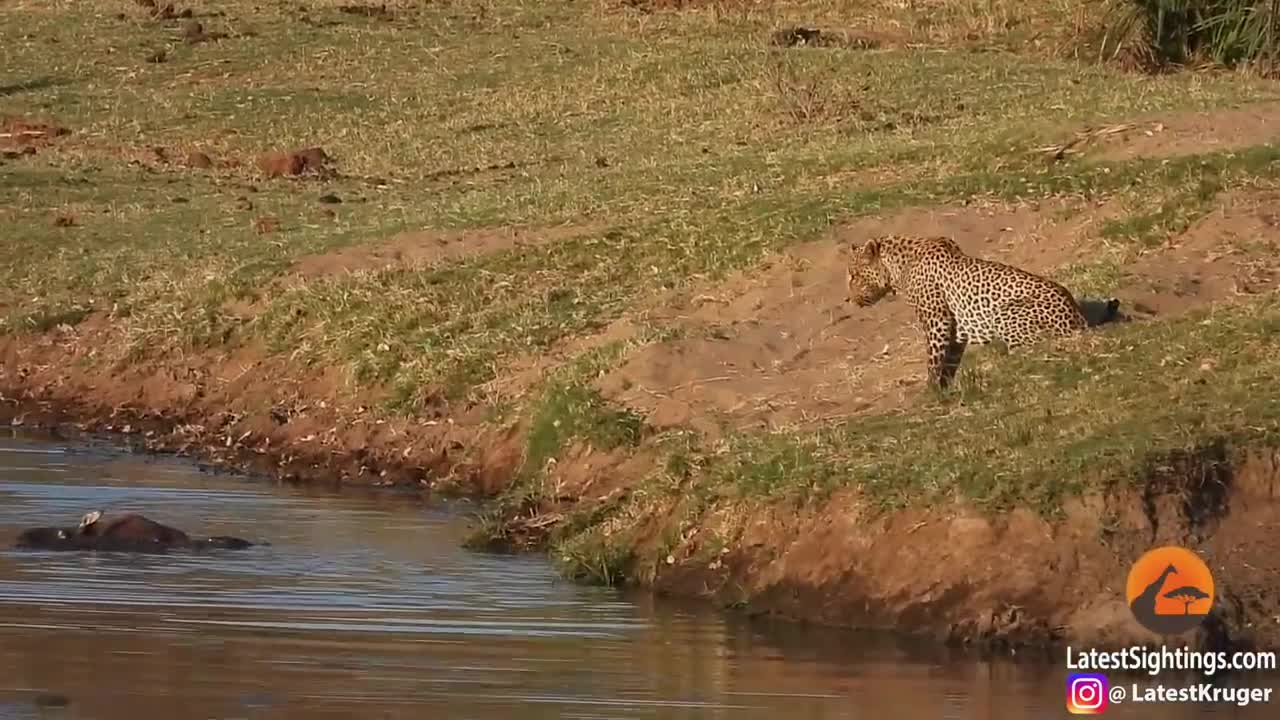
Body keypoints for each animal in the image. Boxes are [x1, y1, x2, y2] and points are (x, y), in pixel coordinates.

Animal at [849, 234, 1111, 392]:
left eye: (854, 275)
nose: (849, 299)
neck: (897, 267)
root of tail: (1078, 316)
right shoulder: (953, 328)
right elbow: (950, 358)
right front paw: (946, 387)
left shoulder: (936, 320)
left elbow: (933, 358)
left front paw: (930, 391)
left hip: (1006, 314)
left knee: (1032, 349)